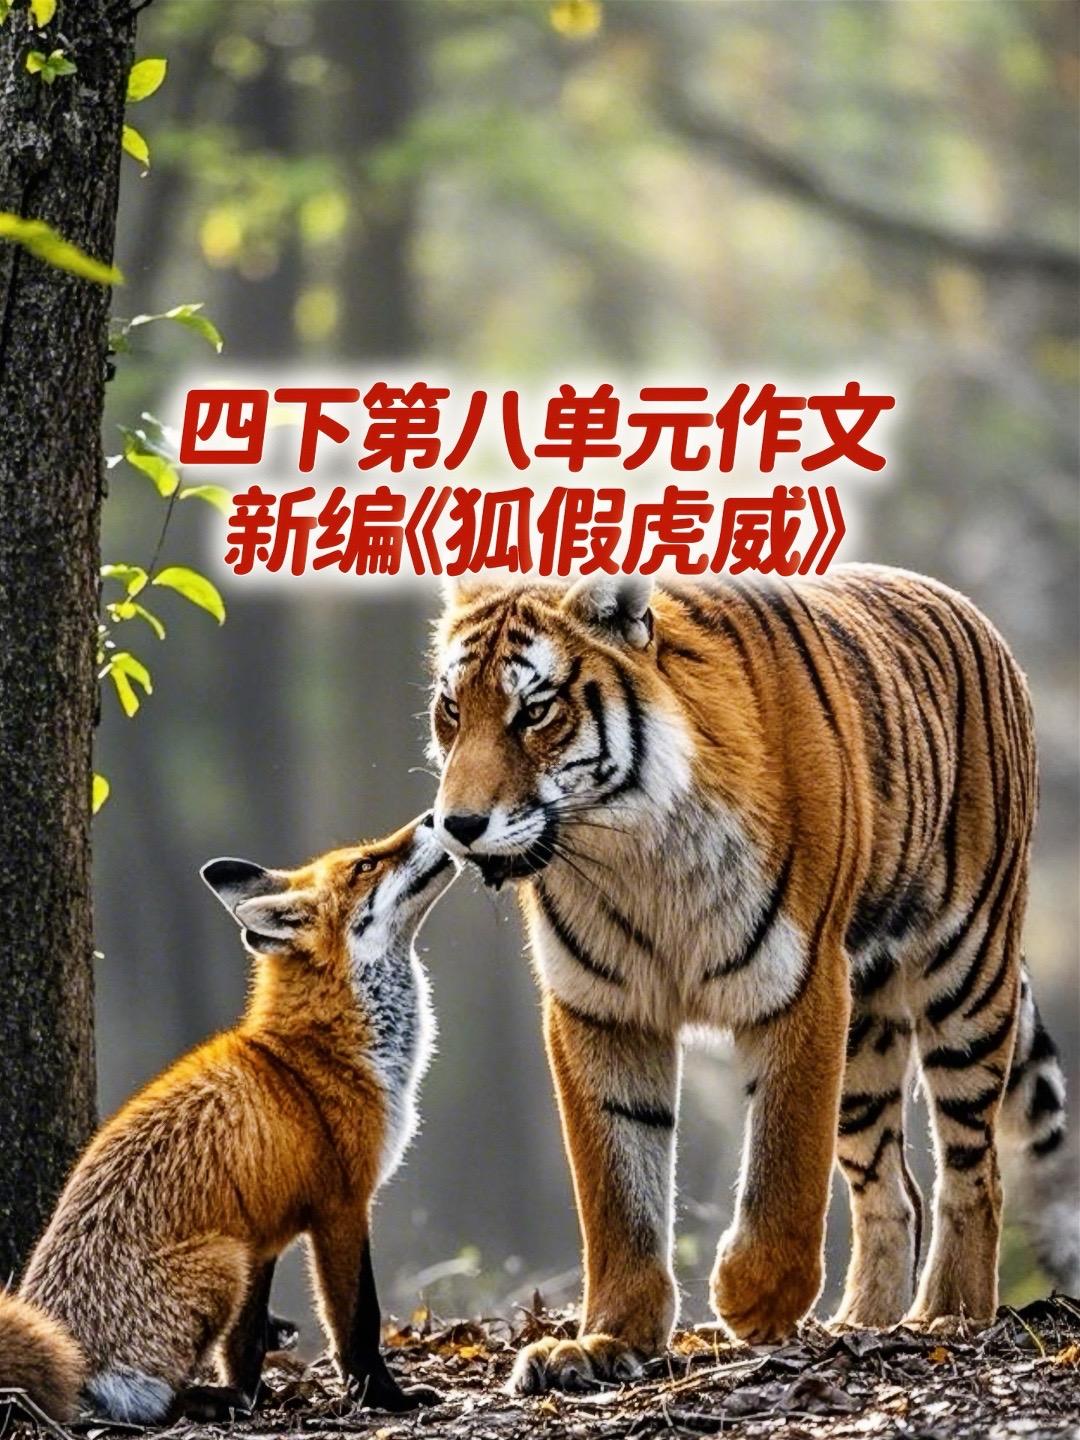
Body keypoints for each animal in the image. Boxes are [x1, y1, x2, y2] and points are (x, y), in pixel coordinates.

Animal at [427, 565, 1077, 1395]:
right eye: (452, 710)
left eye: (534, 712)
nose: (457, 826)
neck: (632, 851)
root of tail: (966, 609)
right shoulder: (601, 1009)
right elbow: (618, 1187)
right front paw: (607, 1338)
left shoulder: (800, 984)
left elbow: (783, 1159)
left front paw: (754, 1298)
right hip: (865, 1031)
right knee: (891, 1188)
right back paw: (862, 1323)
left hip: (965, 971)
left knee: (974, 1167)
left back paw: (948, 1315)